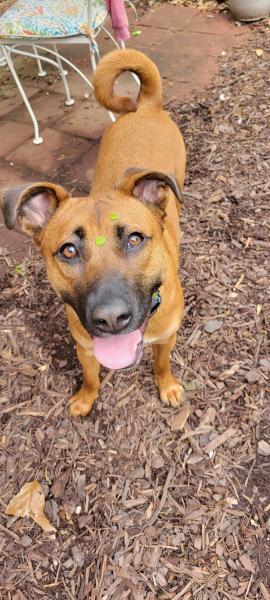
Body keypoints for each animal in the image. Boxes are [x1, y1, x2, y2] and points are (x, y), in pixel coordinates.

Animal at [0, 49, 186, 418]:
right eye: (68, 250)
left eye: (134, 239)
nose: (111, 319)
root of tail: (145, 106)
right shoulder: (84, 346)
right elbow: (90, 376)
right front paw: (86, 398)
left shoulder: (166, 338)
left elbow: (161, 364)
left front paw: (168, 386)